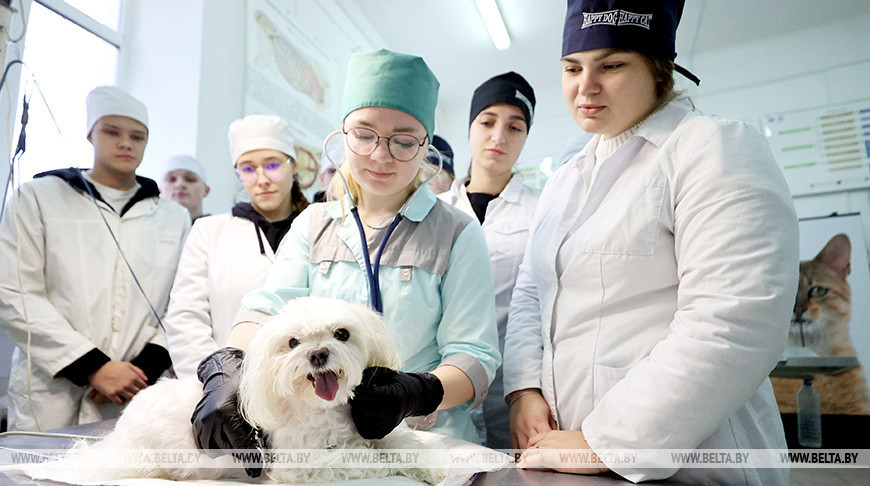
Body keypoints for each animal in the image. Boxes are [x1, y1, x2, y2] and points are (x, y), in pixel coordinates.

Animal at [39, 294, 450, 484]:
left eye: (342, 334)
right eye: (293, 342)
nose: (318, 354)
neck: (324, 410)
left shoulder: (371, 423)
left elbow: (399, 442)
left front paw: (432, 466)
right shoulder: (302, 466)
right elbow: (364, 459)